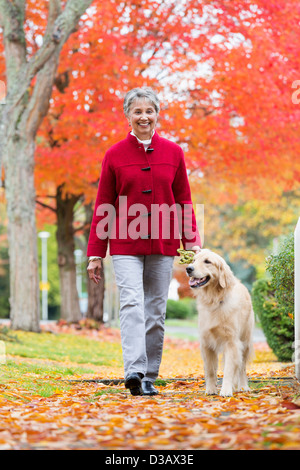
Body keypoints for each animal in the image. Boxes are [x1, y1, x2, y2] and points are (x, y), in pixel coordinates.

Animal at [186, 250, 254, 396]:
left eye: (207, 261)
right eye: (193, 260)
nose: (188, 268)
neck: (214, 301)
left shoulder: (232, 343)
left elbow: (229, 370)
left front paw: (226, 390)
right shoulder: (206, 343)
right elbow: (210, 370)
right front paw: (211, 389)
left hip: (245, 341)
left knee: (242, 367)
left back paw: (243, 386)